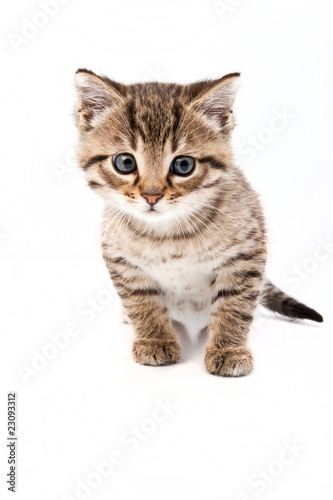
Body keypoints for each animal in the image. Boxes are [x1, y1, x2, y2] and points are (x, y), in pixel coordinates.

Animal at [73, 69, 322, 376]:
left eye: (183, 166)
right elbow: (141, 303)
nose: (151, 196)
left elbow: (235, 305)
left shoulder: (246, 257)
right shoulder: (122, 262)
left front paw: (229, 349)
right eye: (125, 162)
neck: (168, 234)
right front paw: (155, 339)